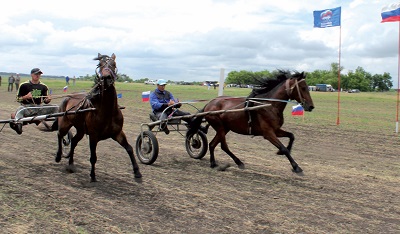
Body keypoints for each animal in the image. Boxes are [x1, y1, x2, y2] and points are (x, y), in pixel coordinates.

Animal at [53, 52, 141, 181]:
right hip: (65, 123)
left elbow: (129, 148)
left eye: (114, 64)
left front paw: (137, 172)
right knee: (60, 135)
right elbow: (93, 157)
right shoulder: (93, 136)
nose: (106, 78)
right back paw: (58, 156)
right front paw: (93, 175)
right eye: (100, 65)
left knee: (73, 141)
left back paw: (71, 164)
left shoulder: (118, 133)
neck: (108, 112)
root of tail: (68, 97)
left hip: (81, 130)